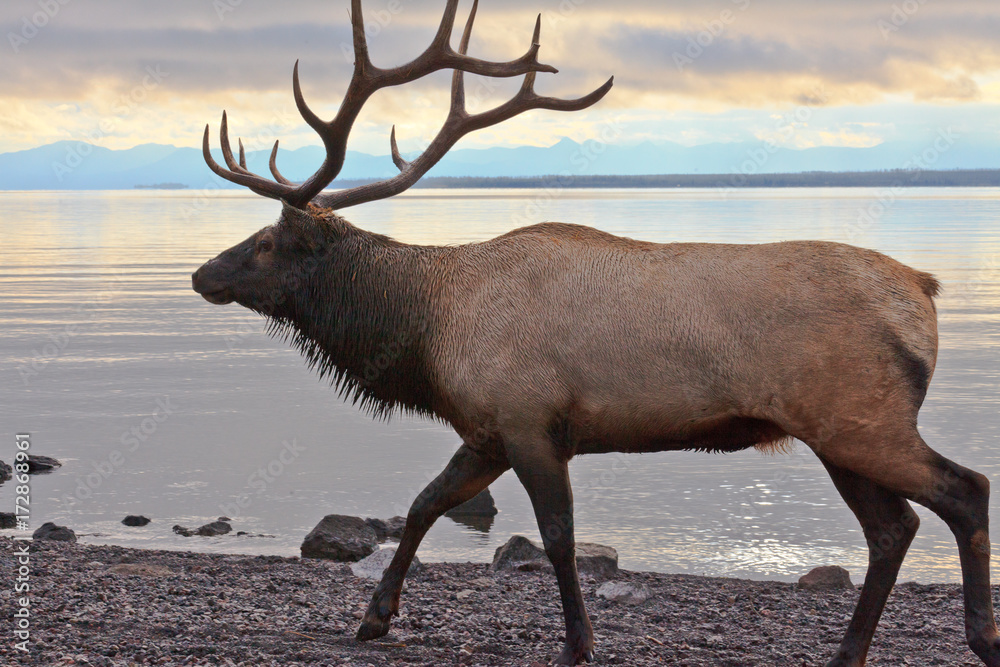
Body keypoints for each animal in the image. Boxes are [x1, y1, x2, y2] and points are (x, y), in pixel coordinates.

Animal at [190, 1, 999, 665]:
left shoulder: (531, 421)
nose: (202, 274)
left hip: (858, 418)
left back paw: (979, 639)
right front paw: (373, 618)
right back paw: (850, 651)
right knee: (894, 528)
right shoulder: (487, 430)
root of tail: (924, 293)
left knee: (963, 489)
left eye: (266, 242)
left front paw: (578, 643)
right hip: (841, 431)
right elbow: (423, 504)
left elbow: (558, 537)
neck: (429, 334)